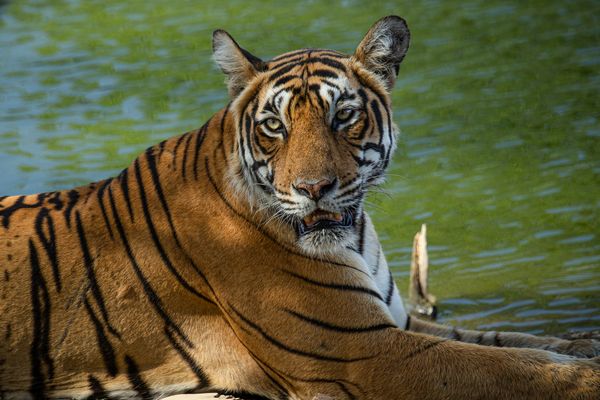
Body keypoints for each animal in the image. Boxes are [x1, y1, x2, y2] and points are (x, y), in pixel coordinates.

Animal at [0, 14, 596, 400]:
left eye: (342, 116)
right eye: (274, 125)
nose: (314, 188)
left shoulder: (394, 322)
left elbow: (514, 341)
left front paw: (582, 342)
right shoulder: (366, 354)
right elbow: (517, 367)